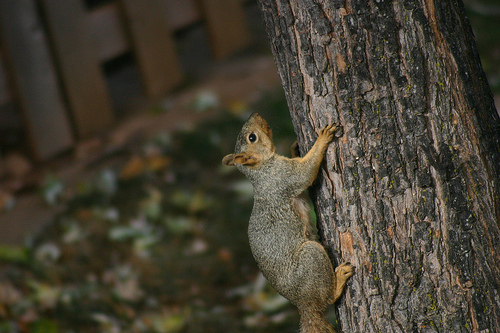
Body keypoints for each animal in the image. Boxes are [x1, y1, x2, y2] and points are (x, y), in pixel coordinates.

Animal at [221, 113, 354, 330]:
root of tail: (304, 304)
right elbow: (305, 172)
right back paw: (339, 279)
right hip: (312, 257)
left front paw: (296, 148)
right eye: (252, 138)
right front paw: (322, 138)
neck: (261, 171)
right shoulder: (284, 177)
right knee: (328, 298)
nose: (255, 114)